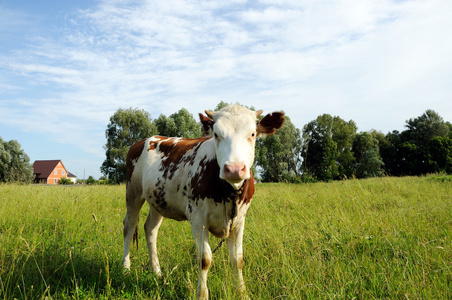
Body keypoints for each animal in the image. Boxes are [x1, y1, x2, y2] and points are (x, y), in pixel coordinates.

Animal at [122, 104, 284, 298]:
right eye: (216, 134)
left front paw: (242, 292)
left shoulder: (239, 220)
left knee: (151, 229)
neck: (228, 192)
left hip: (158, 199)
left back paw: (157, 272)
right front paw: (202, 294)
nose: (234, 169)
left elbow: (237, 258)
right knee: (129, 225)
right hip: (133, 192)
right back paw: (125, 269)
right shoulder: (198, 219)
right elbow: (204, 259)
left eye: (252, 134)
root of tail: (146, 139)